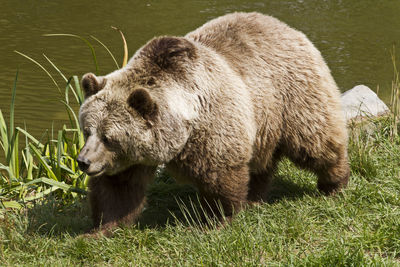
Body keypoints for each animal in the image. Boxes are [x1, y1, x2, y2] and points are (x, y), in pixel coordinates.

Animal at [76, 11, 348, 232]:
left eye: (109, 137)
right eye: (88, 130)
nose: (83, 161)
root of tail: (287, 27)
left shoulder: (214, 124)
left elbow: (220, 175)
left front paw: (217, 219)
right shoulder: (131, 159)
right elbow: (118, 189)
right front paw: (101, 229)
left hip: (291, 96)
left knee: (315, 142)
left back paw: (334, 183)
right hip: (263, 119)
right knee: (261, 161)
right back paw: (254, 197)